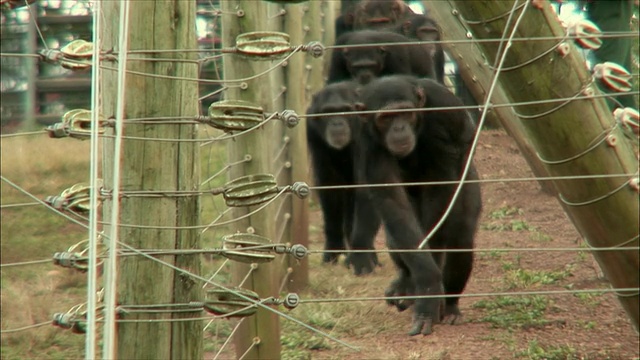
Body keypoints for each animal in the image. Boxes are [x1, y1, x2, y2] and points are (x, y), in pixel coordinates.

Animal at [304, 80, 380, 264]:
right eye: (328, 112)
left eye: (344, 110)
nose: (337, 123)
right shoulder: (312, 131)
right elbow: (330, 186)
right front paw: (333, 249)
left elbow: (365, 186)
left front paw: (361, 257)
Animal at [350, 74, 480, 336]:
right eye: (385, 118)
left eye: (405, 113)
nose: (399, 128)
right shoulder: (368, 141)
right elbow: (392, 201)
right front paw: (427, 283)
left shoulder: (443, 114)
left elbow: (440, 187)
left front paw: (430, 295)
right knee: (397, 233)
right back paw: (405, 282)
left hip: (469, 177)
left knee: (460, 235)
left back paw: (450, 306)